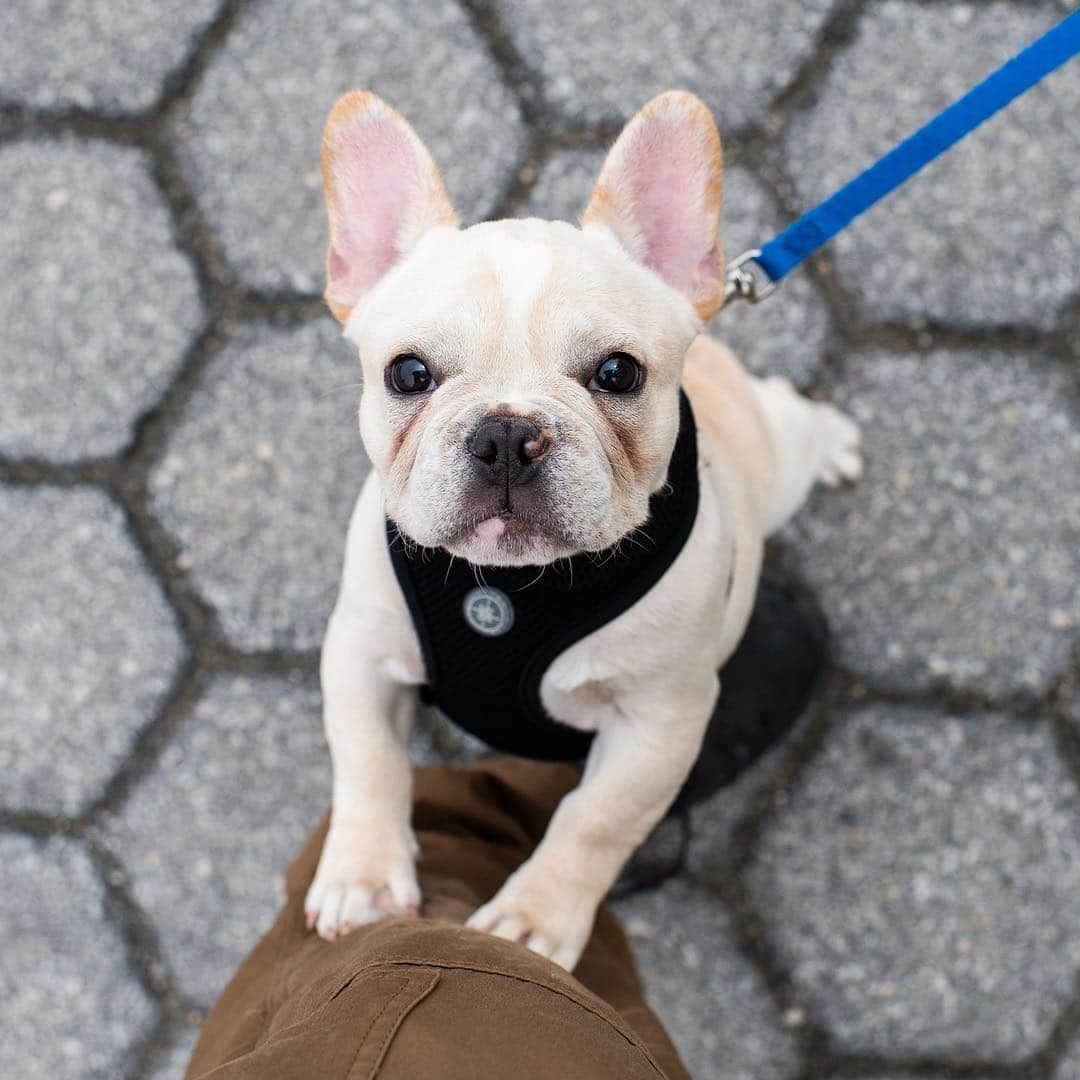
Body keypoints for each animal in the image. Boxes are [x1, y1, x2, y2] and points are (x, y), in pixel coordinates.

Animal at [304, 90, 859, 972]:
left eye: (618, 373)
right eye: (408, 373)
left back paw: (833, 441)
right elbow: (367, 758)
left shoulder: (660, 724)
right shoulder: (360, 647)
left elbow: (594, 822)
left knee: (791, 416)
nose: (506, 433)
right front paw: (363, 878)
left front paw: (533, 921)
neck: (508, 590)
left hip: (779, 459)